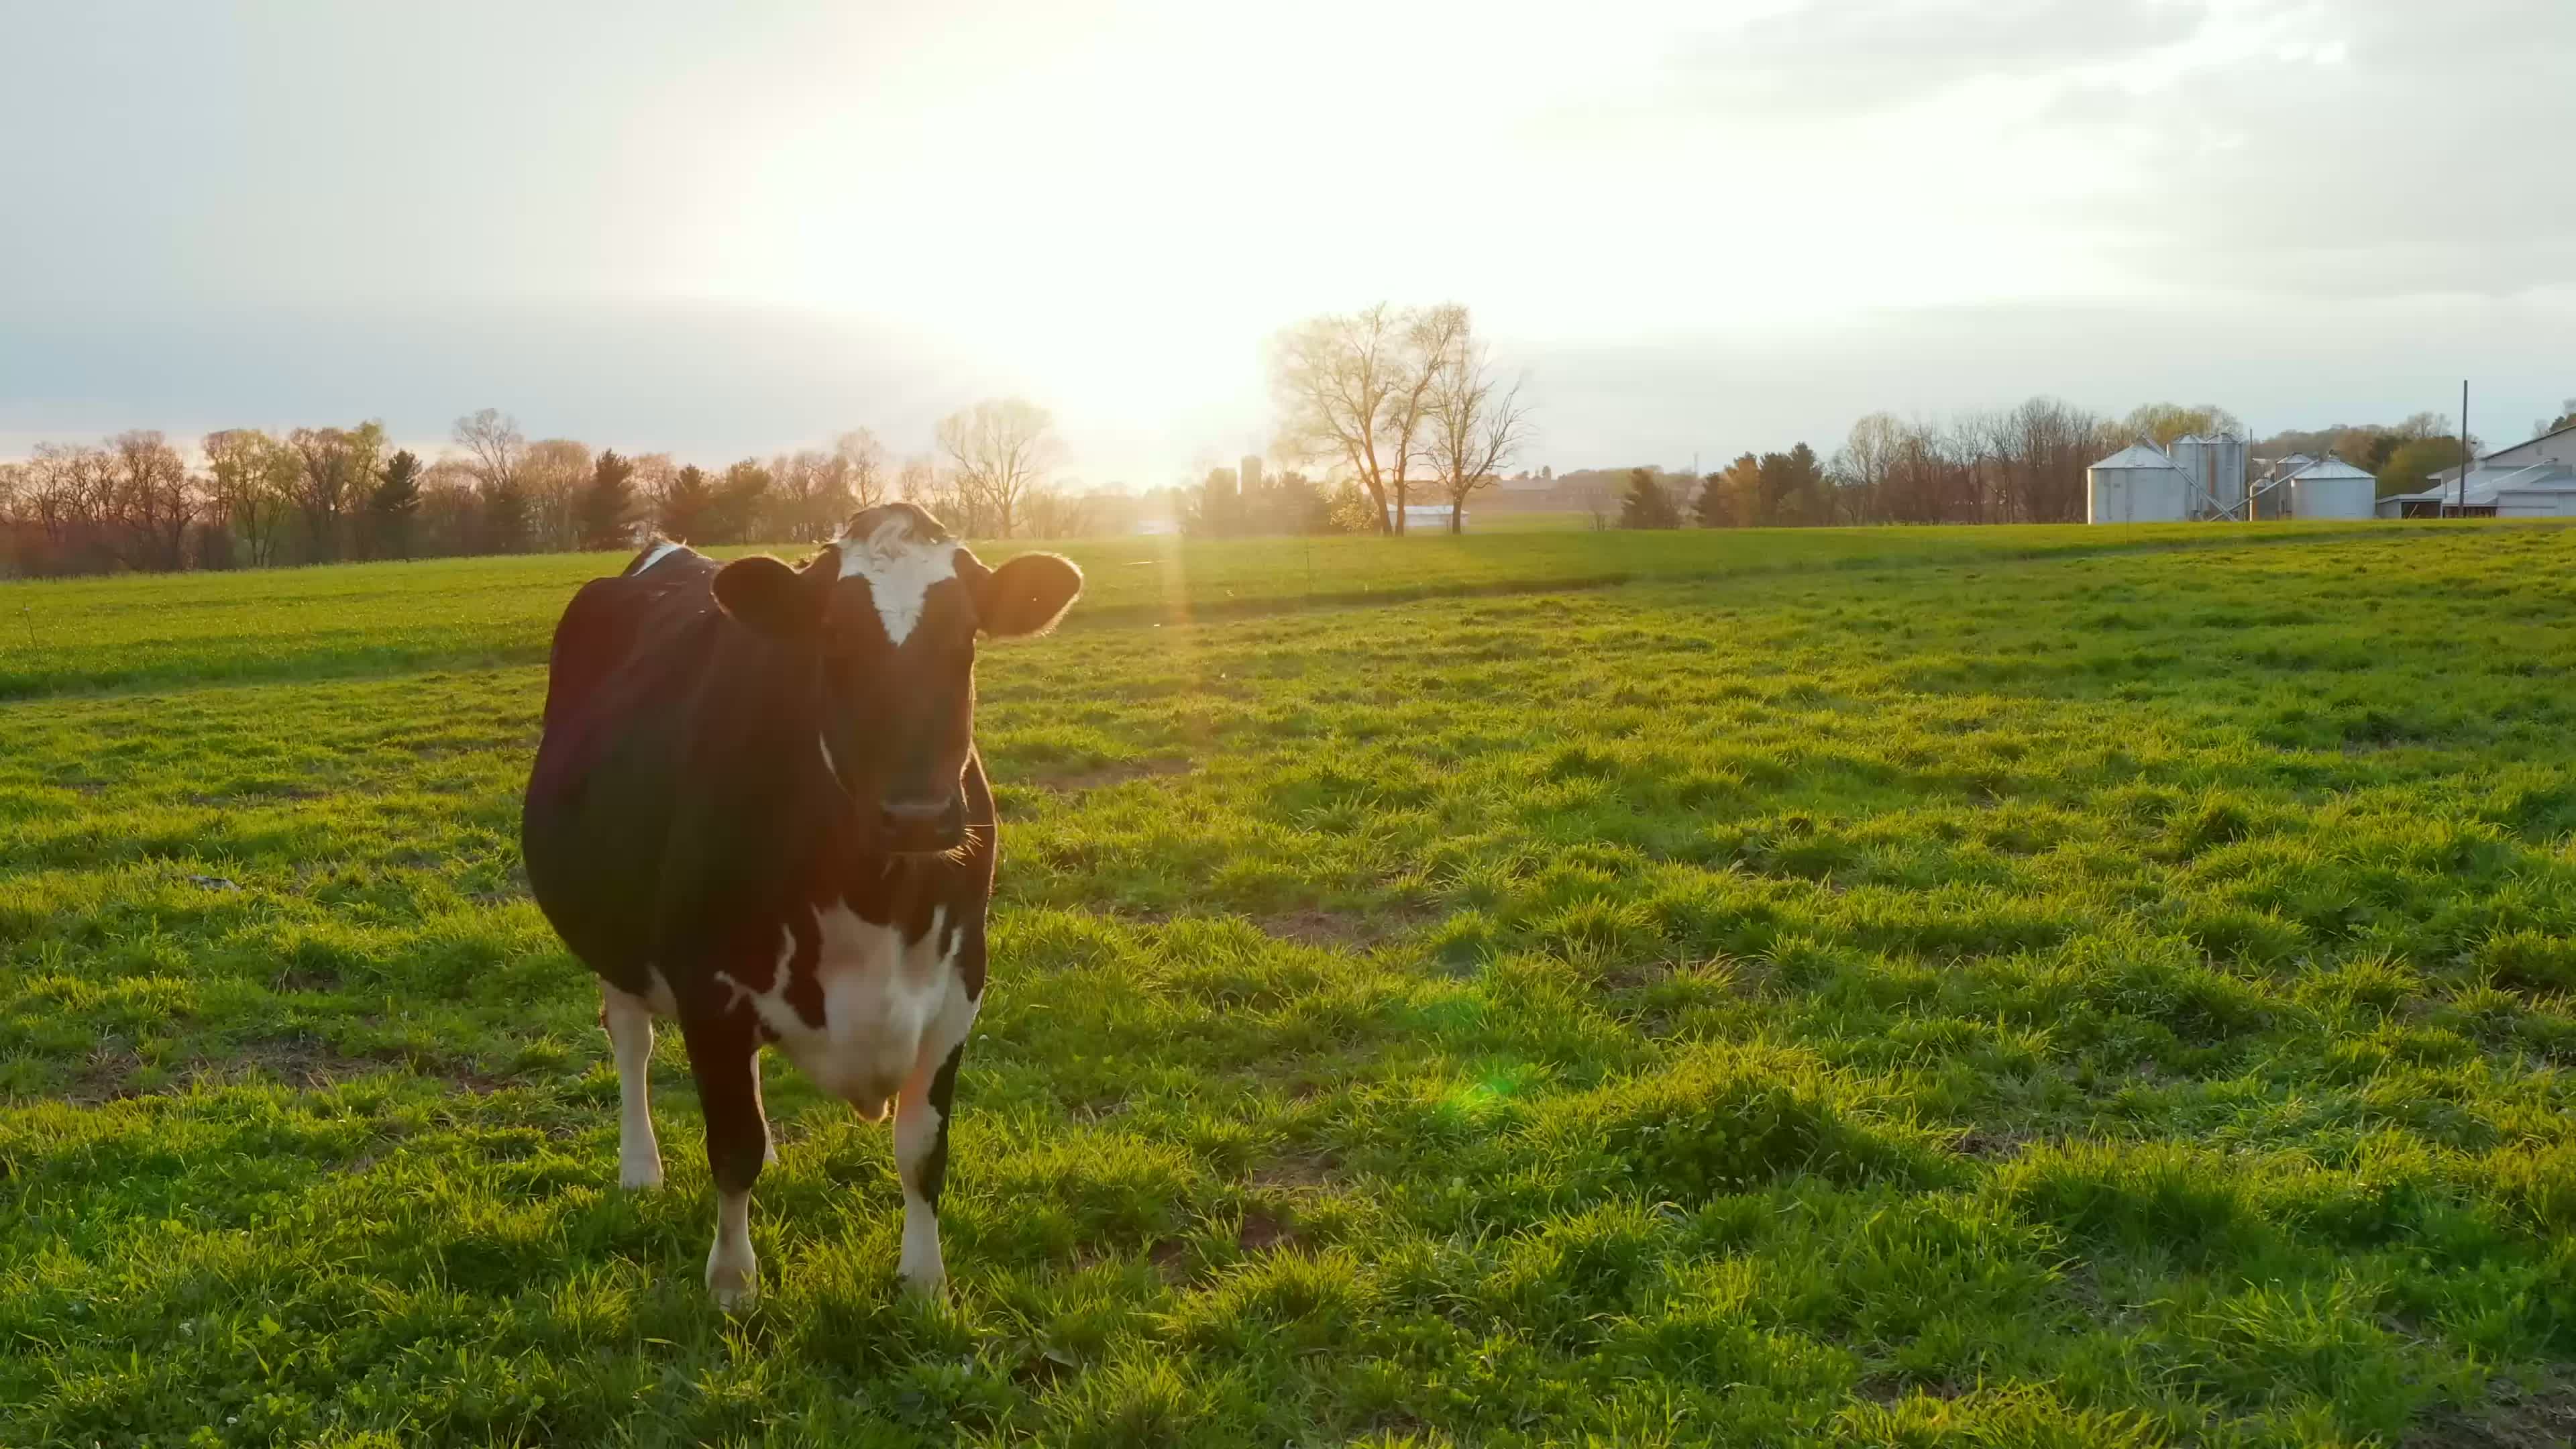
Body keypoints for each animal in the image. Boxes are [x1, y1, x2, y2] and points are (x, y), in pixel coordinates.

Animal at [521, 504, 1082, 1309]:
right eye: (834, 638)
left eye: (967, 637)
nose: (917, 815)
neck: (875, 898)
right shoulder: (709, 991)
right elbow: (733, 1148)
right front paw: (732, 1282)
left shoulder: (959, 989)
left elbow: (922, 1150)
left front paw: (924, 1281)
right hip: (613, 932)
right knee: (630, 1039)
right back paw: (640, 1168)